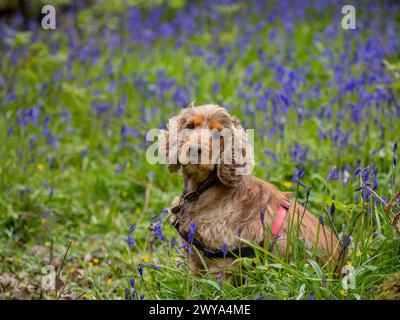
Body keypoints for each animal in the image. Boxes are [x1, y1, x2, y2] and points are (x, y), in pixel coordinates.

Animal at [159, 104, 340, 274]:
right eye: (189, 126)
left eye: (218, 134)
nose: (193, 150)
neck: (205, 188)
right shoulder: (194, 257)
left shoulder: (223, 260)